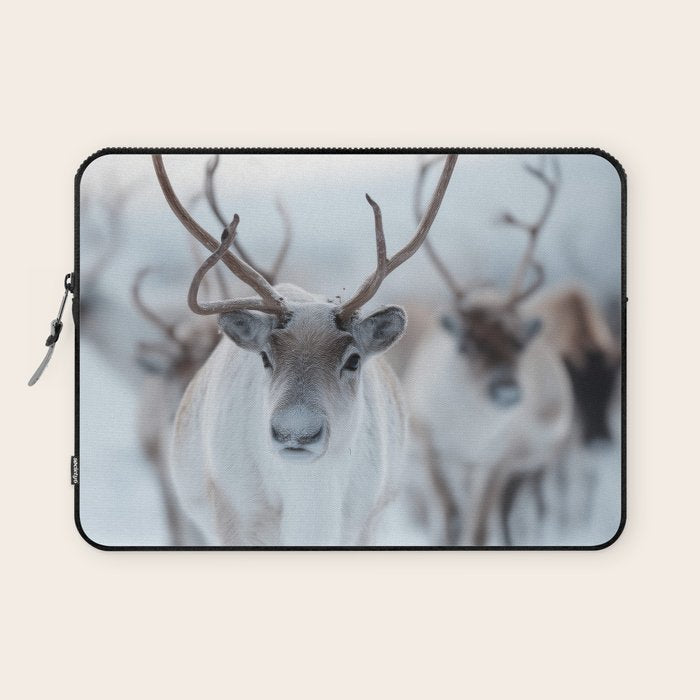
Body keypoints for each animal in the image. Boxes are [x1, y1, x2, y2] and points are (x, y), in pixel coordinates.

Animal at [151, 153, 458, 546]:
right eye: (265, 357)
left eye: (353, 360)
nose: (294, 433)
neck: (309, 506)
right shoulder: (236, 522)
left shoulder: (361, 526)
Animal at [405, 156, 587, 546]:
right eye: (467, 344)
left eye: (519, 342)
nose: (506, 391)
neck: (468, 428)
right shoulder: (431, 447)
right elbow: (449, 516)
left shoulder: (497, 459)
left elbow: (479, 529)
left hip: (531, 465)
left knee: (521, 511)